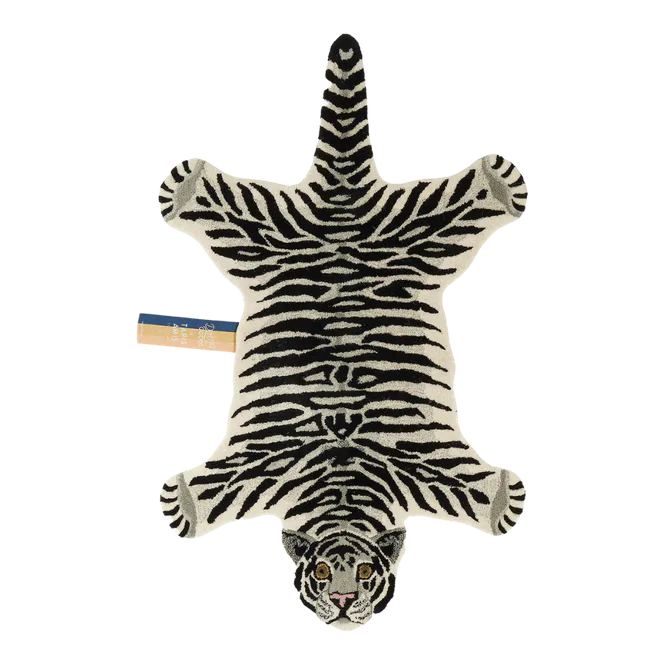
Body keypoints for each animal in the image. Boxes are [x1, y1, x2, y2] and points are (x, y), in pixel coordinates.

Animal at [156, 31, 529, 632]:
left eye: (367, 574)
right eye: (323, 574)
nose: (346, 605)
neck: (343, 474)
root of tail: (342, 202)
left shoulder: (420, 461)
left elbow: (468, 484)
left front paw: (498, 499)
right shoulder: (266, 462)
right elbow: (217, 488)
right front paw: (187, 502)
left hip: (413, 231)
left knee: (454, 203)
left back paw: (493, 183)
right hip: (270, 235)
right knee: (231, 207)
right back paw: (192, 188)